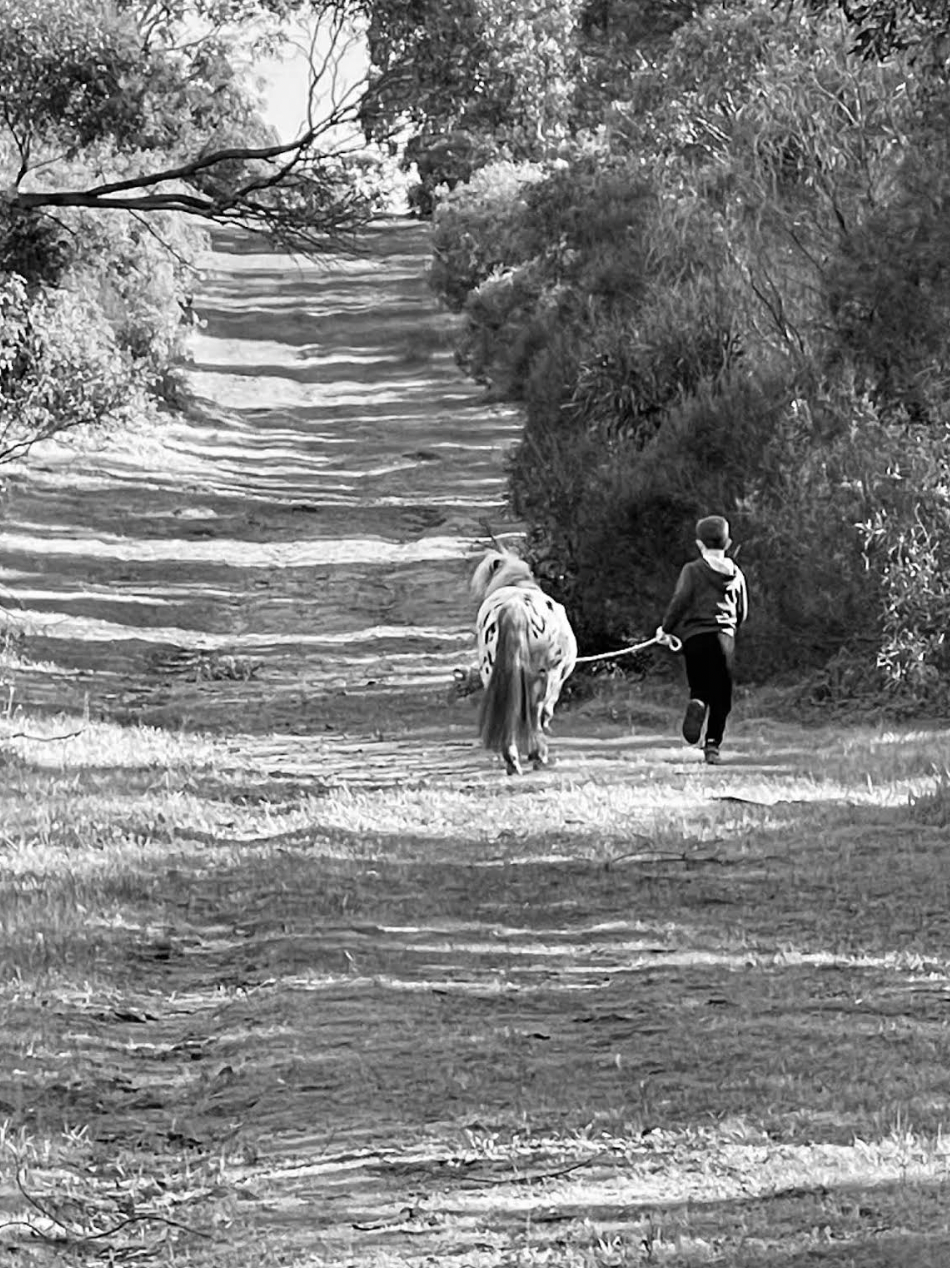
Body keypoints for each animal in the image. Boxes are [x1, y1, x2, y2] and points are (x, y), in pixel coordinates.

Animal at [470, 547, 577, 775]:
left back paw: (513, 761)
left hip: (492, 672)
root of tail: (516, 605)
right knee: (535, 712)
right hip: (543, 676)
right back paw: (538, 756)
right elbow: (544, 713)